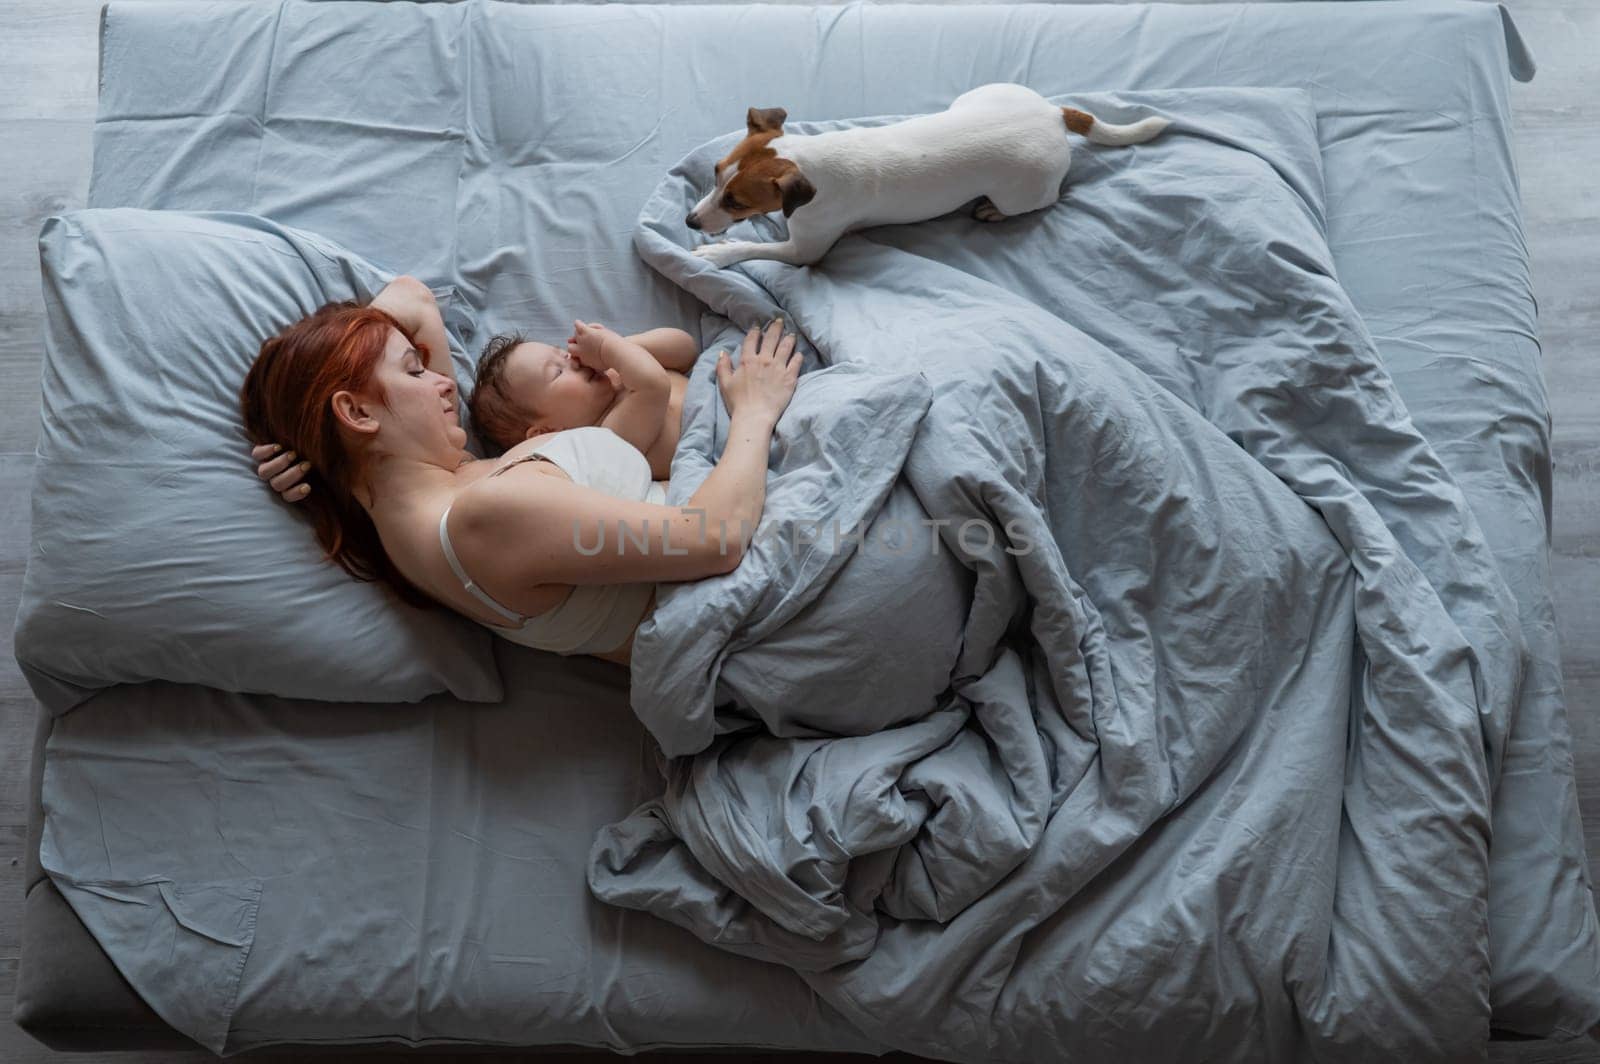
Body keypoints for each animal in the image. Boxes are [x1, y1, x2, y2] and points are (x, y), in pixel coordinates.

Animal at [684, 83, 1164, 270]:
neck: (812, 160)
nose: (690, 221)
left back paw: (992, 211)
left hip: (1024, 191)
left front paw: (719, 252)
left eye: (738, 202)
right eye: (715, 172)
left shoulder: (805, 252)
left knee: (1040, 202)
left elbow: (756, 248)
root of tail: (1052, 114)